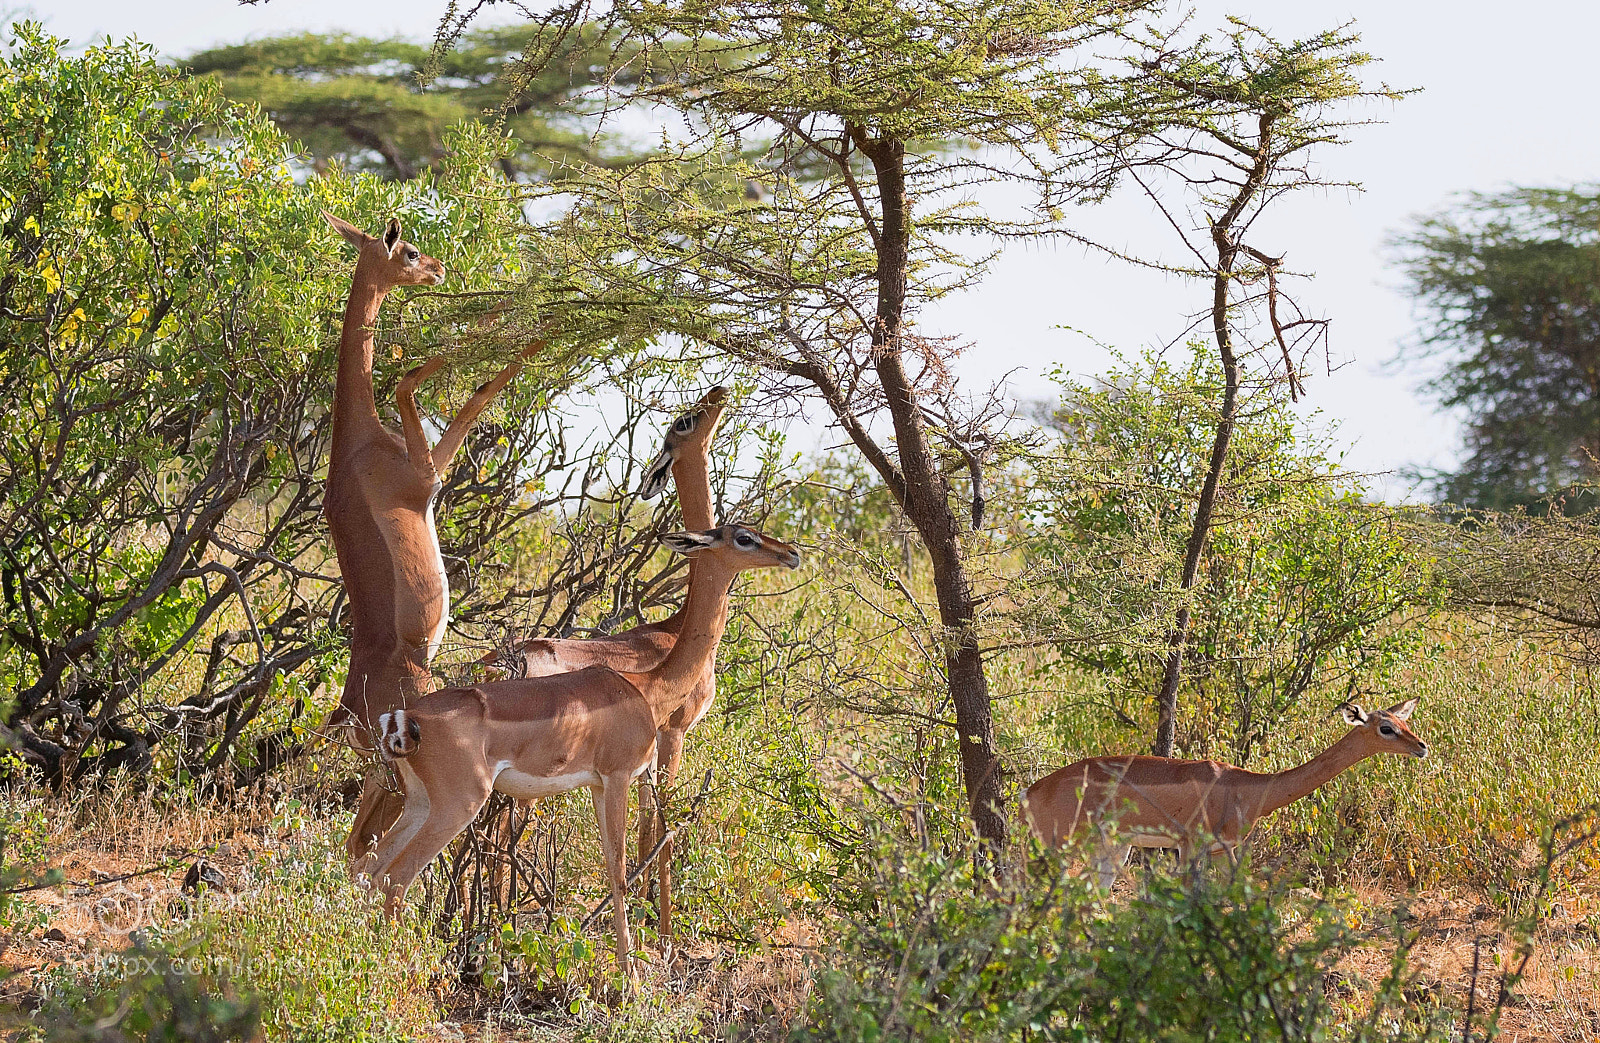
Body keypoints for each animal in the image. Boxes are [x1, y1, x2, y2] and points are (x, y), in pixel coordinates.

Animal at [319, 212, 540, 863]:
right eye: (409, 249)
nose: (439, 268)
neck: (359, 441)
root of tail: (347, 708)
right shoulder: (428, 477)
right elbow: (420, 384)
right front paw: (528, 335)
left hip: (381, 770)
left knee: (358, 842)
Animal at [361, 524, 802, 977]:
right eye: (743, 537)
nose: (791, 553)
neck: (644, 687)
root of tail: (406, 716)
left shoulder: (596, 784)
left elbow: (612, 864)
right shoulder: (619, 776)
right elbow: (621, 870)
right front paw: (631, 974)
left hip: (419, 803)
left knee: (369, 871)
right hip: (459, 805)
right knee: (396, 880)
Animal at [1022, 699, 1428, 889]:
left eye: (1404, 721)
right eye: (1386, 728)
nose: (1422, 747)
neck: (1247, 789)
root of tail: (1034, 789)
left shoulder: (1222, 851)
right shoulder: (1189, 846)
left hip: (1114, 850)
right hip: (1060, 848)